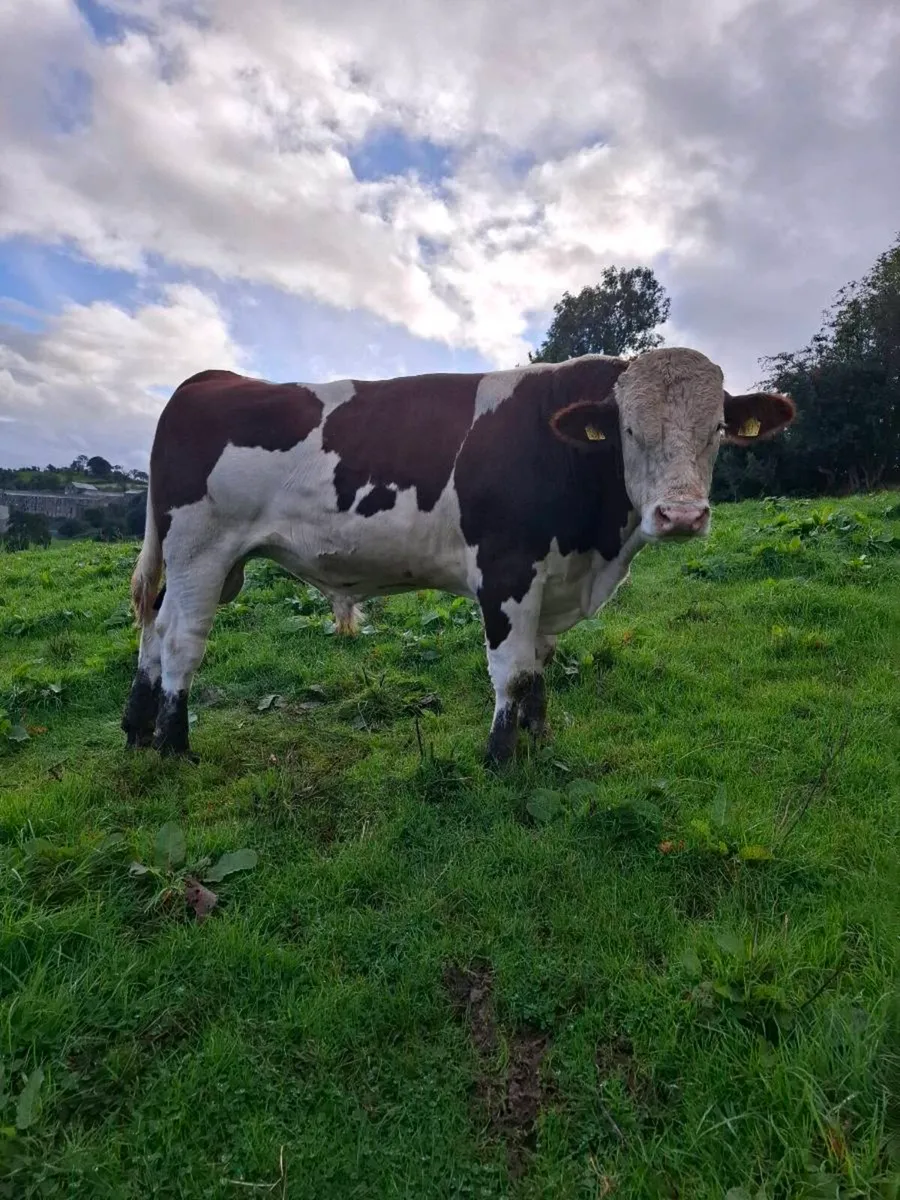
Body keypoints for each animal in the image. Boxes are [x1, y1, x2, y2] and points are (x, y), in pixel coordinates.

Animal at [122, 348, 794, 764]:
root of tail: (210, 378)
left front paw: (539, 742)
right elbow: (513, 672)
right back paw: (175, 745)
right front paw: (500, 760)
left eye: (717, 429)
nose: (681, 516)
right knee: (183, 640)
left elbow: (539, 669)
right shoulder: (506, 572)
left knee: (154, 627)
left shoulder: (553, 580)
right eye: (629, 430)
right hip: (201, 550)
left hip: (206, 562)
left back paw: (136, 730)